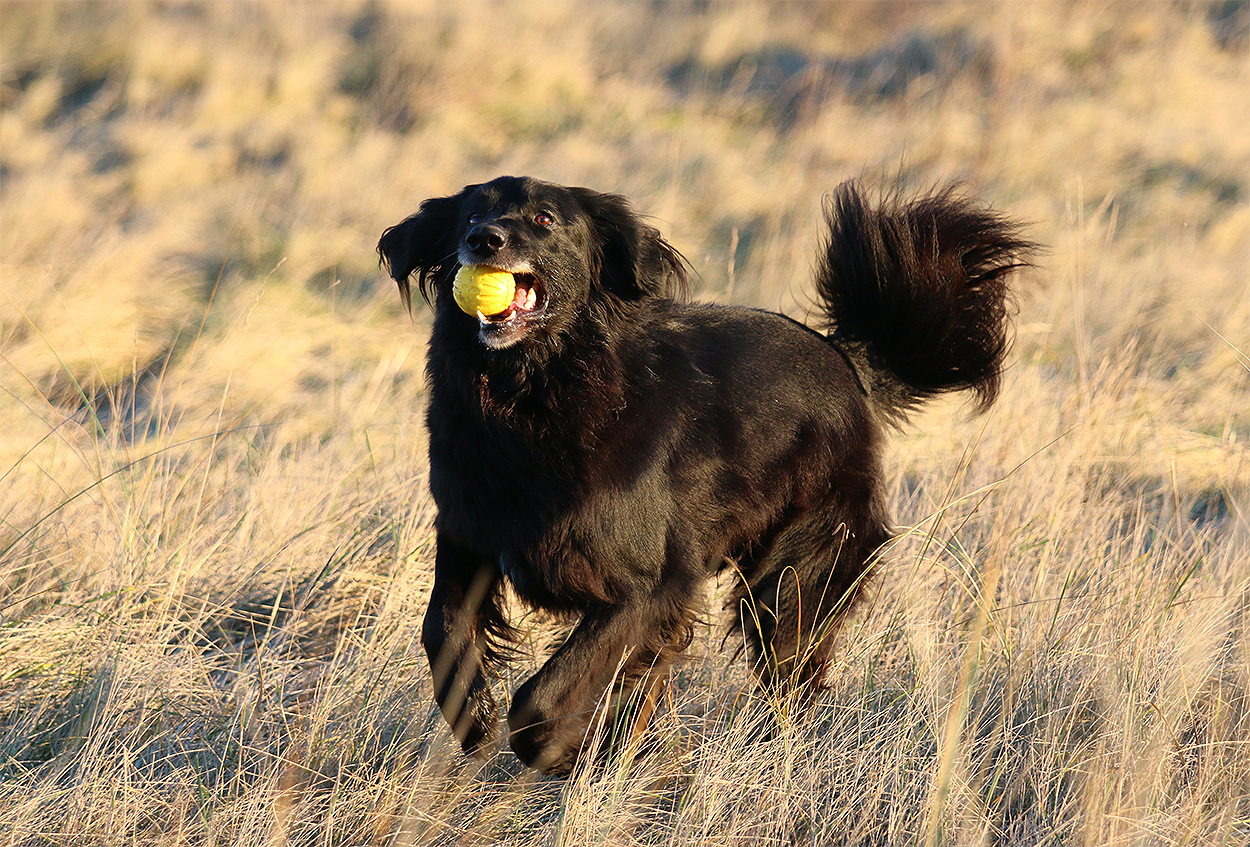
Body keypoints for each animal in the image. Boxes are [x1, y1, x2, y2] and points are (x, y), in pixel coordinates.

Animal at [378, 176, 1032, 773]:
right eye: (470, 215)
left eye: (544, 218)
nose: (482, 241)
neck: (535, 393)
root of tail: (848, 362)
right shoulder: (470, 535)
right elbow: (443, 629)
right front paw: (475, 721)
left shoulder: (653, 583)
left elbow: (547, 693)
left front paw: (557, 748)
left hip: (795, 571)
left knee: (789, 669)